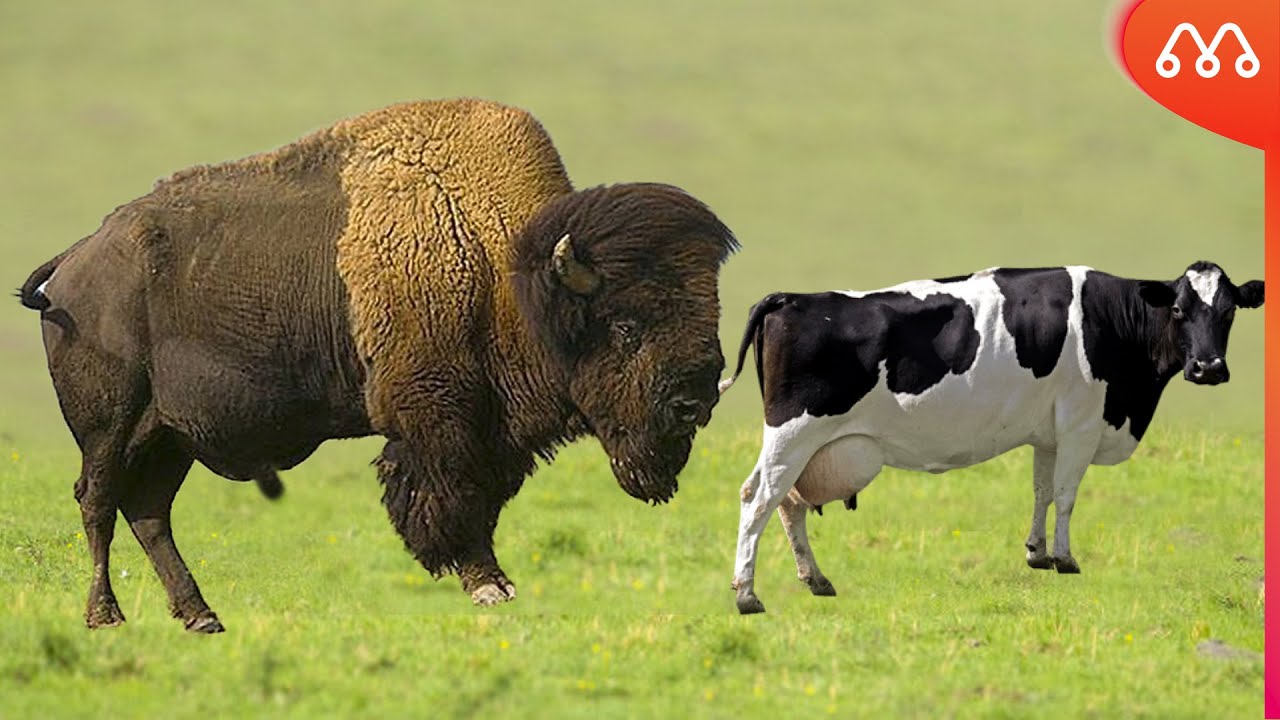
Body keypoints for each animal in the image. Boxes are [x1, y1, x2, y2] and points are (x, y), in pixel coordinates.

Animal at [18, 99, 738, 632]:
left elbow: (483, 497)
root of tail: (75, 261)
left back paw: (201, 617)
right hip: (110, 427)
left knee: (148, 511)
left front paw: (494, 581)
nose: (693, 404)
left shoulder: (491, 429)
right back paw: (106, 617)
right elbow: (450, 494)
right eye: (625, 325)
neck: (500, 265)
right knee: (97, 501)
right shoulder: (437, 417)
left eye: (708, 313)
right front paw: (486, 584)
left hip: (169, 436)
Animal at [718, 262, 1262, 614]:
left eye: (1229, 311)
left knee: (784, 502)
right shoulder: (1081, 424)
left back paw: (815, 580)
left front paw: (1037, 553)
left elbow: (1042, 491)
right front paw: (1066, 558)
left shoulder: (1049, 434)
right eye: (1179, 309)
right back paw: (747, 594)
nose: (1208, 367)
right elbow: (1066, 495)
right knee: (758, 499)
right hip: (794, 432)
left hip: (801, 444)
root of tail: (791, 298)